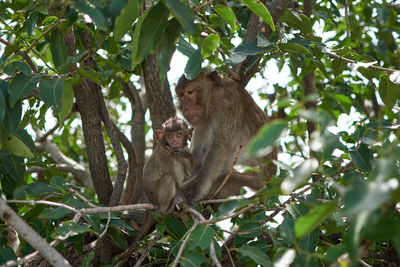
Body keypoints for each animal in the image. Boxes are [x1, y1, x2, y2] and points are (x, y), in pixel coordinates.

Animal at [177, 68, 276, 206]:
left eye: (190, 92)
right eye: (181, 95)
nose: (185, 108)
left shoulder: (228, 102)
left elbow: (220, 146)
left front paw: (195, 193)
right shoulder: (202, 122)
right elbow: (196, 160)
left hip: (251, 188)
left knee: (221, 178)